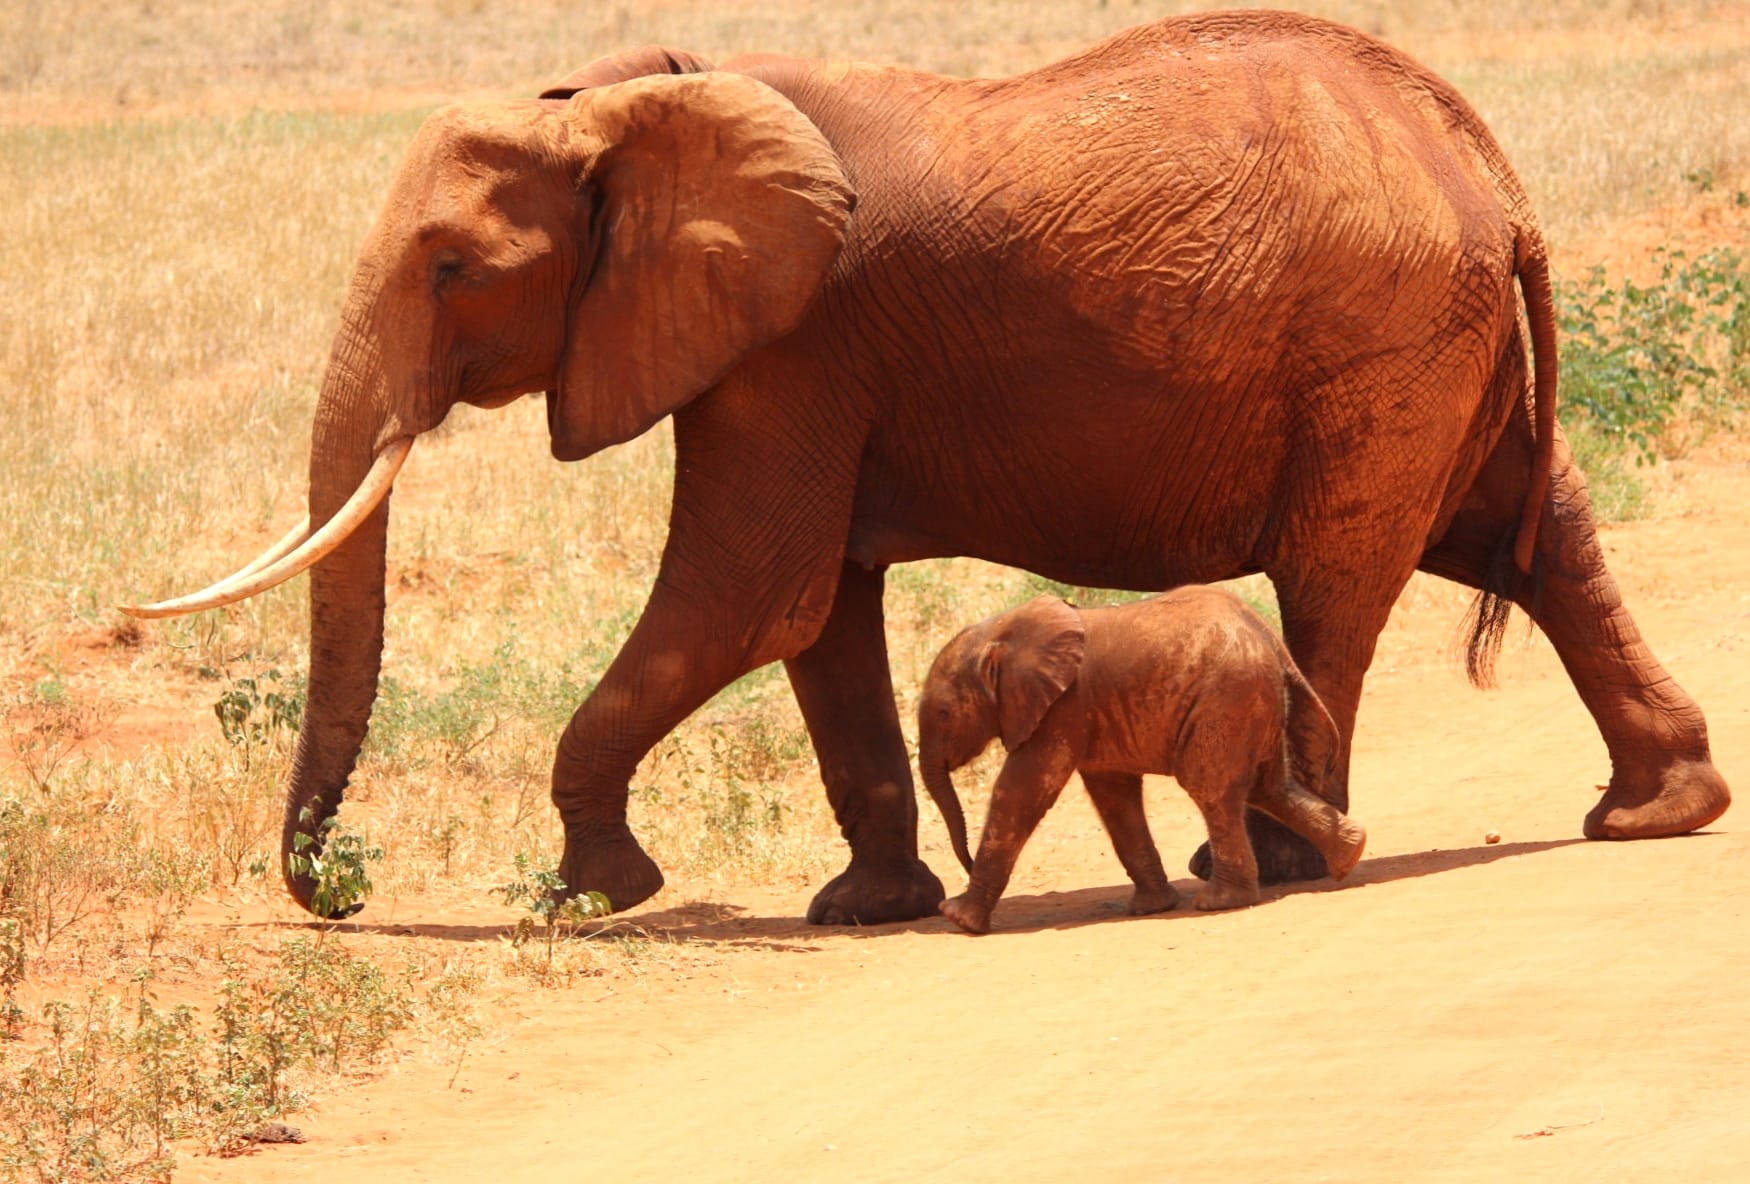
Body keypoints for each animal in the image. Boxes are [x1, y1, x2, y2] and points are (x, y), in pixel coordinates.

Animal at [917, 584, 1365, 930]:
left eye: (943, 714)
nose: (964, 862)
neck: (1001, 631)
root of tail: (1269, 638)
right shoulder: (1089, 715)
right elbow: (1114, 798)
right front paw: (1154, 908)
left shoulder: (1062, 708)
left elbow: (1020, 792)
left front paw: (958, 918)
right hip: (1252, 701)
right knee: (1269, 788)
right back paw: (1350, 856)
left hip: (1226, 699)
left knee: (1212, 790)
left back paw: (1219, 902)